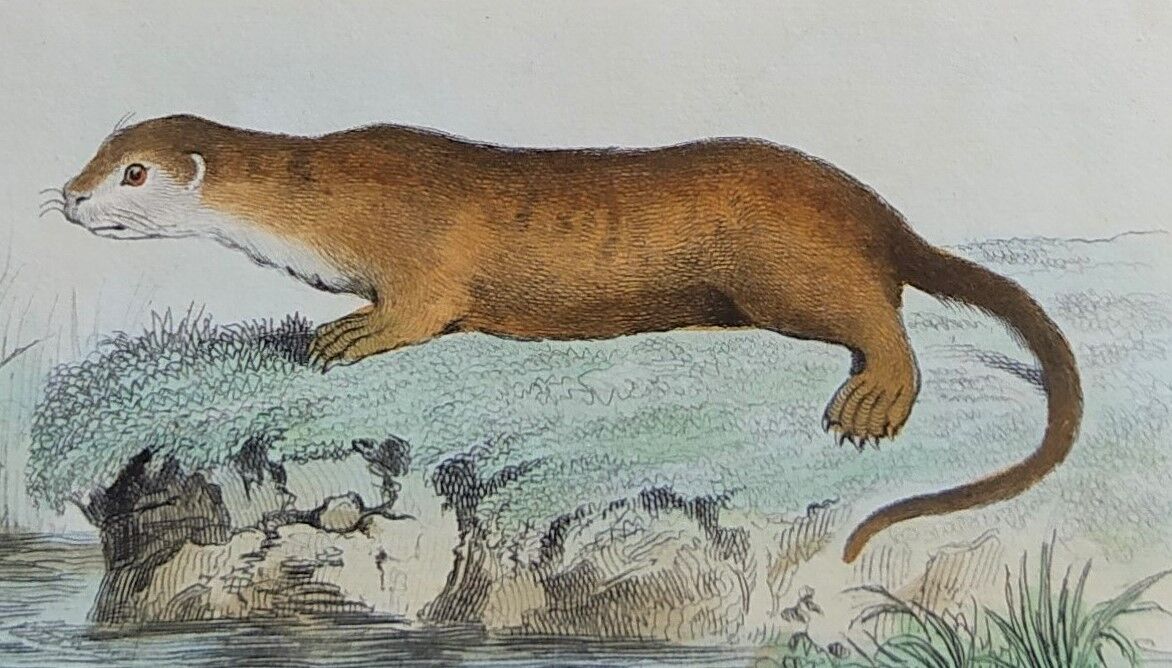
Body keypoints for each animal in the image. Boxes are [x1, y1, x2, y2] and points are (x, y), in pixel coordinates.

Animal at [52, 114, 1082, 562]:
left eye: (132, 174)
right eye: (96, 154)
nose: (67, 195)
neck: (331, 197)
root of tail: (873, 210)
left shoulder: (420, 253)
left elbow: (419, 310)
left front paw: (345, 332)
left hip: (793, 269)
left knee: (881, 316)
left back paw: (873, 397)